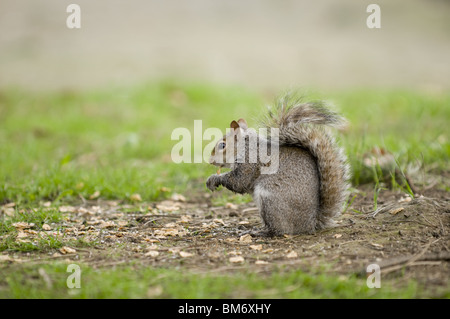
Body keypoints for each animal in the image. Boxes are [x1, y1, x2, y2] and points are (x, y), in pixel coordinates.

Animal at [207, 94, 352, 236]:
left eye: (222, 145)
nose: (210, 160)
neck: (245, 146)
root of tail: (310, 223)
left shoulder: (249, 162)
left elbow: (239, 182)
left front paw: (214, 179)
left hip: (270, 198)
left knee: (280, 230)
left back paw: (261, 232)